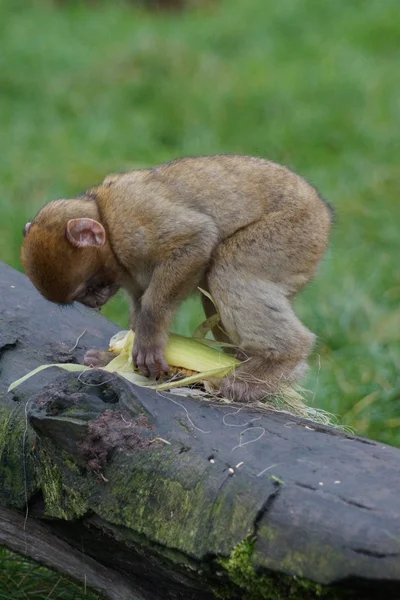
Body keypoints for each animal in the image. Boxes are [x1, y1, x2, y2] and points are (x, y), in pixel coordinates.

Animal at [22, 155, 334, 400]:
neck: (104, 216)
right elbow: (140, 297)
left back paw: (279, 362)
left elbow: (196, 240)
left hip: (296, 231)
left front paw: (148, 340)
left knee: (228, 267)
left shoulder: (133, 225)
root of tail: (320, 207)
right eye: (84, 295)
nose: (93, 303)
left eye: (88, 287)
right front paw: (117, 357)